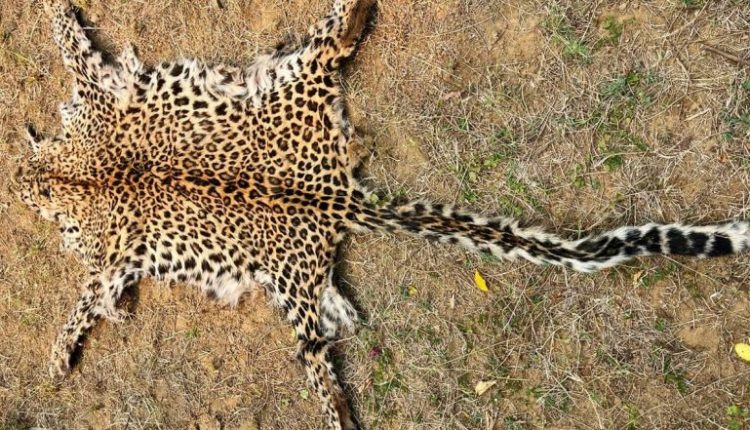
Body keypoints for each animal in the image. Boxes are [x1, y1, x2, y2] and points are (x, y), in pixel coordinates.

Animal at [11, 0, 750, 429]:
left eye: (24, 190)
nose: (14, 183)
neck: (70, 170)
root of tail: (331, 192)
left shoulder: (103, 202)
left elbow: (84, 300)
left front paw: (56, 354)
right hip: (298, 202)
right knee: (337, 41)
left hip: (292, 262)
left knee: (317, 357)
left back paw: (339, 416)